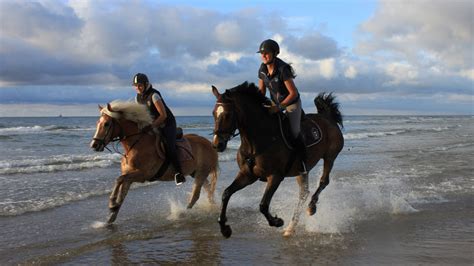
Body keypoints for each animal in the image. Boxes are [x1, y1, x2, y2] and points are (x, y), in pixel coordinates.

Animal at [89, 101, 218, 223]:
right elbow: (121, 191)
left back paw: (183, 213)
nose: (94, 145)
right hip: (196, 173)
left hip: (201, 173)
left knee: (196, 194)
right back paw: (211, 207)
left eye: (106, 124)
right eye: (97, 123)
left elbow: (119, 179)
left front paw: (112, 204)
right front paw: (111, 215)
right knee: (208, 190)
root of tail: (210, 144)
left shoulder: (143, 175)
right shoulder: (129, 176)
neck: (136, 145)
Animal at [212, 82, 344, 238]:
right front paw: (224, 229)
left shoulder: (275, 176)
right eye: (213, 113)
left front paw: (277, 221)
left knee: (323, 181)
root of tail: (328, 117)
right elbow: (226, 193)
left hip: (330, 157)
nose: (217, 144)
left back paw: (311, 208)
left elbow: (263, 205)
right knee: (303, 193)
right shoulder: (247, 175)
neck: (255, 142)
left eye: (227, 115)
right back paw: (291, 228)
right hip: (301, 170)